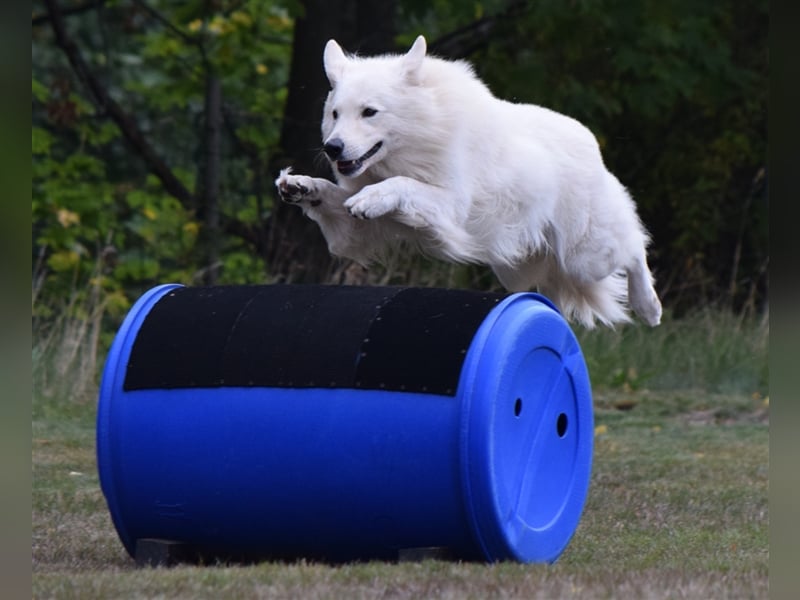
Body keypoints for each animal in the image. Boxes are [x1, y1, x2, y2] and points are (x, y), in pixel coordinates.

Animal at [276, 36, 664, 328]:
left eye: (369, 112)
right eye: (335, 114)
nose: (332, 147)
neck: (420, 135)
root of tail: (591, 143)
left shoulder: (451, 205)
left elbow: (402, 184)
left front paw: (371, 198)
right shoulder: (363, 230)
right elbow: (334, 197)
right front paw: (301, 186)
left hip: (585, 254)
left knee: (633, 247)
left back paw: (649, 306)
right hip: (519, 266)